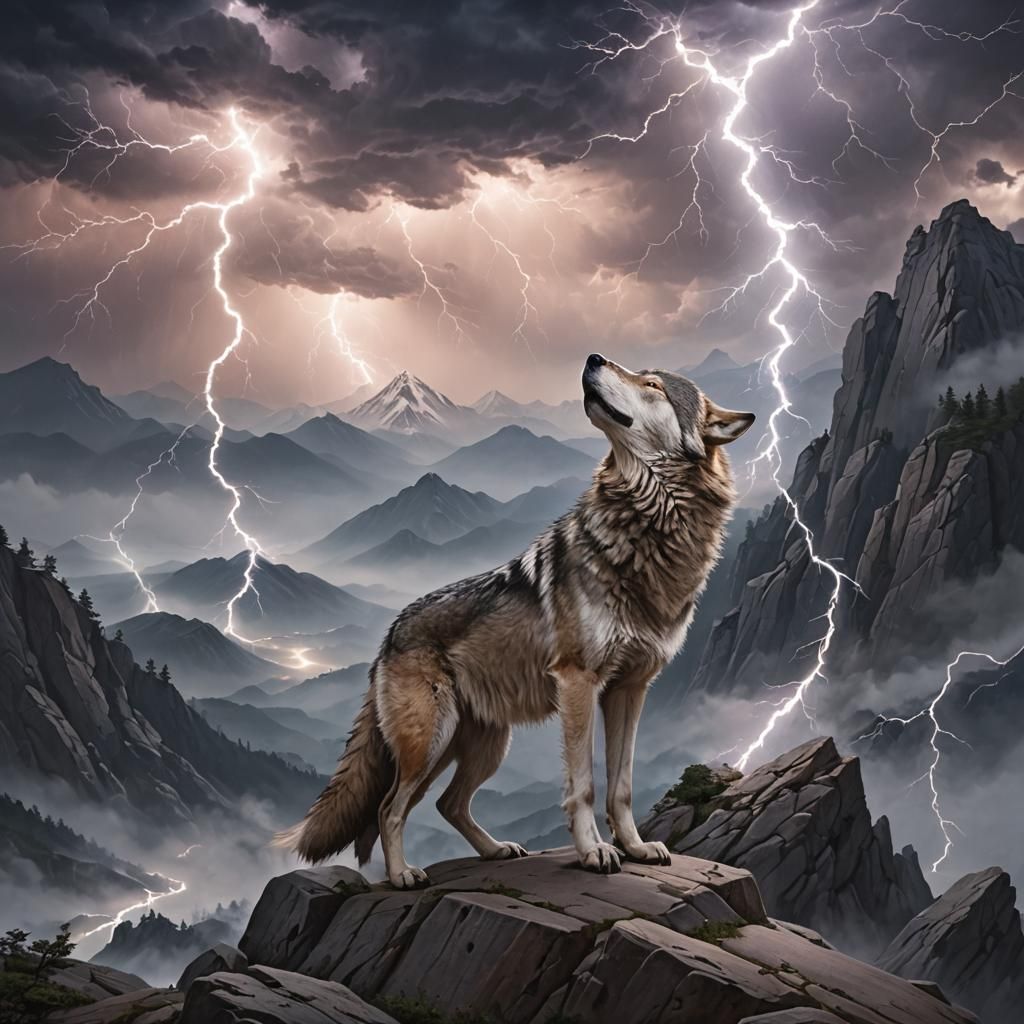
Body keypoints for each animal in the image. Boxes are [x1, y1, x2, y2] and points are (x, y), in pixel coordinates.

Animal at [277, 354, 754, 888]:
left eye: (651, 384)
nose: (592, 358)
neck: (648, 528)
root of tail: (389, 635)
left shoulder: (630, 689)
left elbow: (623, 785)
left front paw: (634, 847)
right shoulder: (578, 682)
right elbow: (585, 784)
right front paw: (594, 852)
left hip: (483, 746)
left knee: (446, 803)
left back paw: (495, 850)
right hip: (432, 741)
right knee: (389, 807)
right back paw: (403, 875)